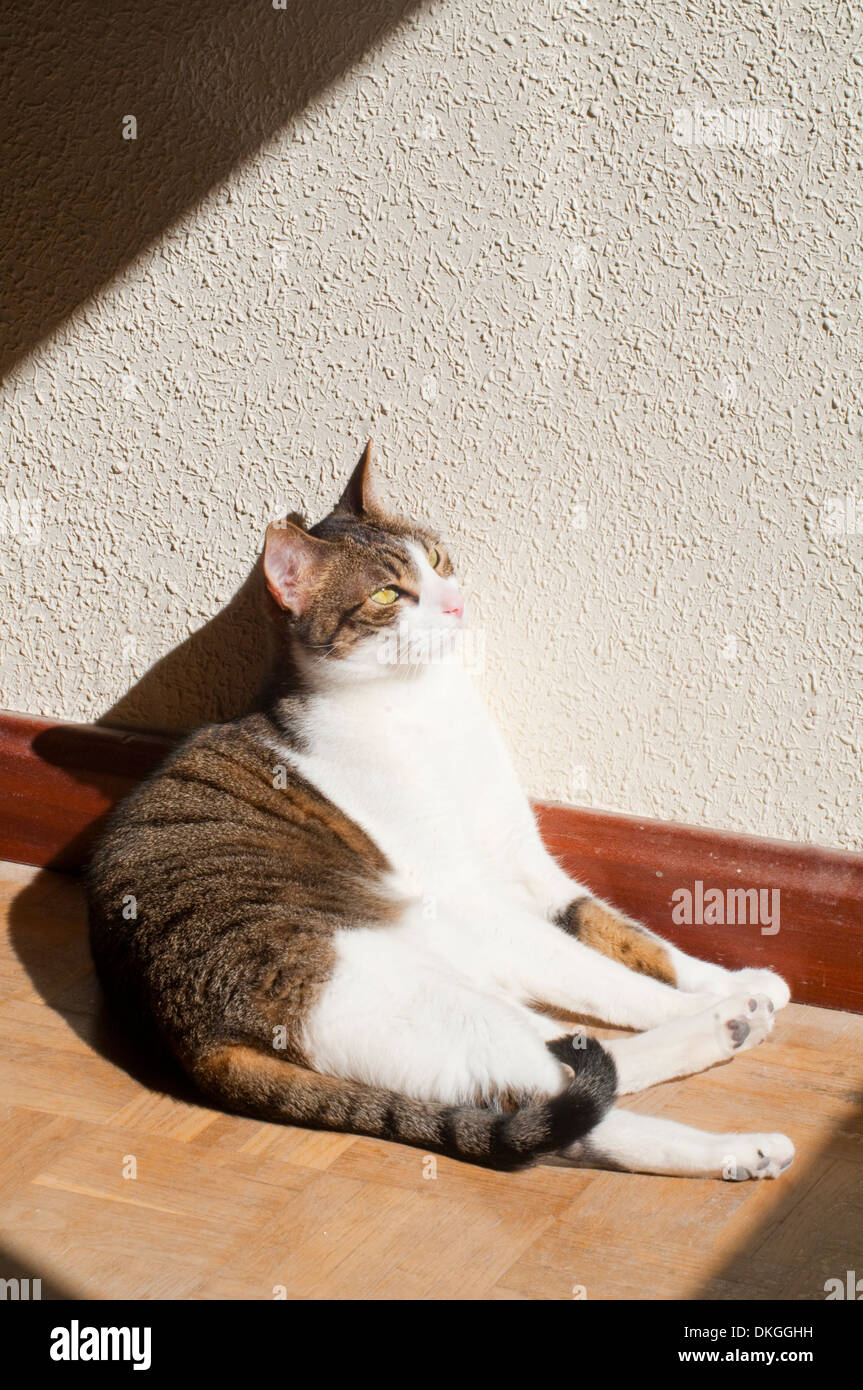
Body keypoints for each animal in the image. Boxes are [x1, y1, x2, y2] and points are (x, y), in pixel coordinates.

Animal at [87, 442, 794, 1173]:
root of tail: (195, 1044)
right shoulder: (471, 889)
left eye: (439, 560)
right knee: (565, 1094)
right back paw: (731, 1102)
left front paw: (734, 979)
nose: (455, 604)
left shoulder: (526, 866)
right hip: (420, 982)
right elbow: (610, 977)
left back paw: (737, 1073)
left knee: (560, 1083)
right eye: (388, 594)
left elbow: (629, 936)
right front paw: (715, 998)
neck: (428, 704)